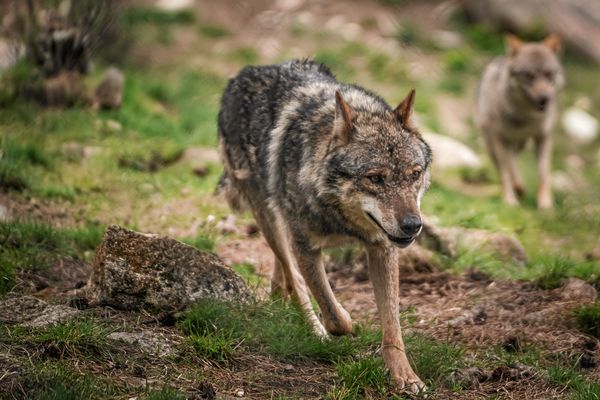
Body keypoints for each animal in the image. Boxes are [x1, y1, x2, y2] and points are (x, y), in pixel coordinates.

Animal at [218, 60, 434, 394]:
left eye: (415, 173)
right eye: (375, 178)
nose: (413, 226)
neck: (341, 219)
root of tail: (244, 72)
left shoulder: (382, 247)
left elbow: (392, 327)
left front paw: (405, 377)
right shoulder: (306, 246)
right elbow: (334, 316)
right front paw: (345, 321)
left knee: (283, 273)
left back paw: (279, 296)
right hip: (269, 219)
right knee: (294, 276)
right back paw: (313, 327)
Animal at [474, 34, 564, 209]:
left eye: (549, 74)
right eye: (529, 75)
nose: (545, 99)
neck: (527, 117)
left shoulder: (543, 137)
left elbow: (543, 173)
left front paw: (545, 204)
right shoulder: (501, 139)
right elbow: (506, 172)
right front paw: (510, 200)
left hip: (521, 144)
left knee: (514, 160)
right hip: (493, 144)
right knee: (505, 165)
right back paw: (517, 187)